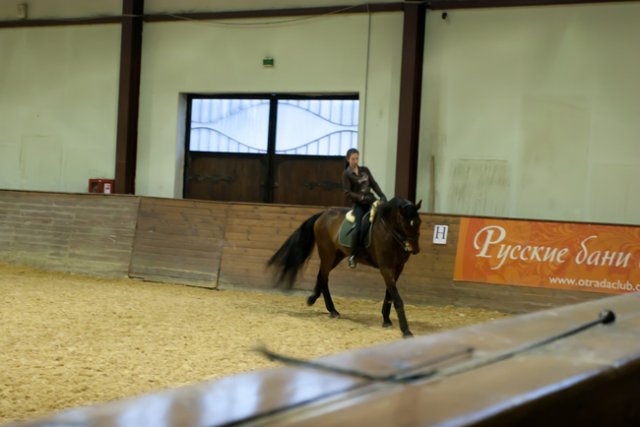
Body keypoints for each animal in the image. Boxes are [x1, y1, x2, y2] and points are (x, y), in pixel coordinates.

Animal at [267, 197, 422, 338]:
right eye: (404, 223)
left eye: (419, 222)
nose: (414, 249)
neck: (388, 232)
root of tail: (323, 214)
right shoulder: (386, 268)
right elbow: (397, 298)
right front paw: (406, 330)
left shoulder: (397, 268)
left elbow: (389, 294)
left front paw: (386, 320)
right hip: (327, 254)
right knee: (324, 277)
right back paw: (331, 309)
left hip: (337, 255)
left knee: (321, 276)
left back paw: (315, 300)